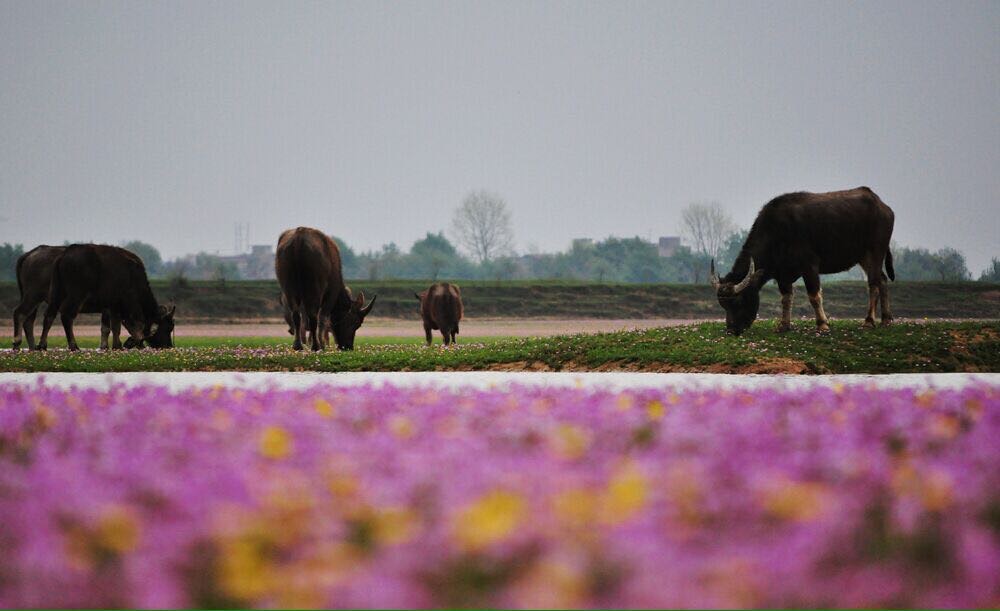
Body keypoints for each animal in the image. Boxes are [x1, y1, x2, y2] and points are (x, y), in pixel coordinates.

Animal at [708, 188, 896, 338]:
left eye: (738, 301)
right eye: (723, 305)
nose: (731, 330)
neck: (776, 233)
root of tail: (883, 206)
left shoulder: (810, 266)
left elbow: (814, 295)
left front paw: (822, 325)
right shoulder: (782, 275)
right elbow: (786, 298)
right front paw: (783, 325)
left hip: (875, 251)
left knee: (873, 284)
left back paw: (869, 321)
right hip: (864, 257)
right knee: (882, 279)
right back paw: (886, 319)